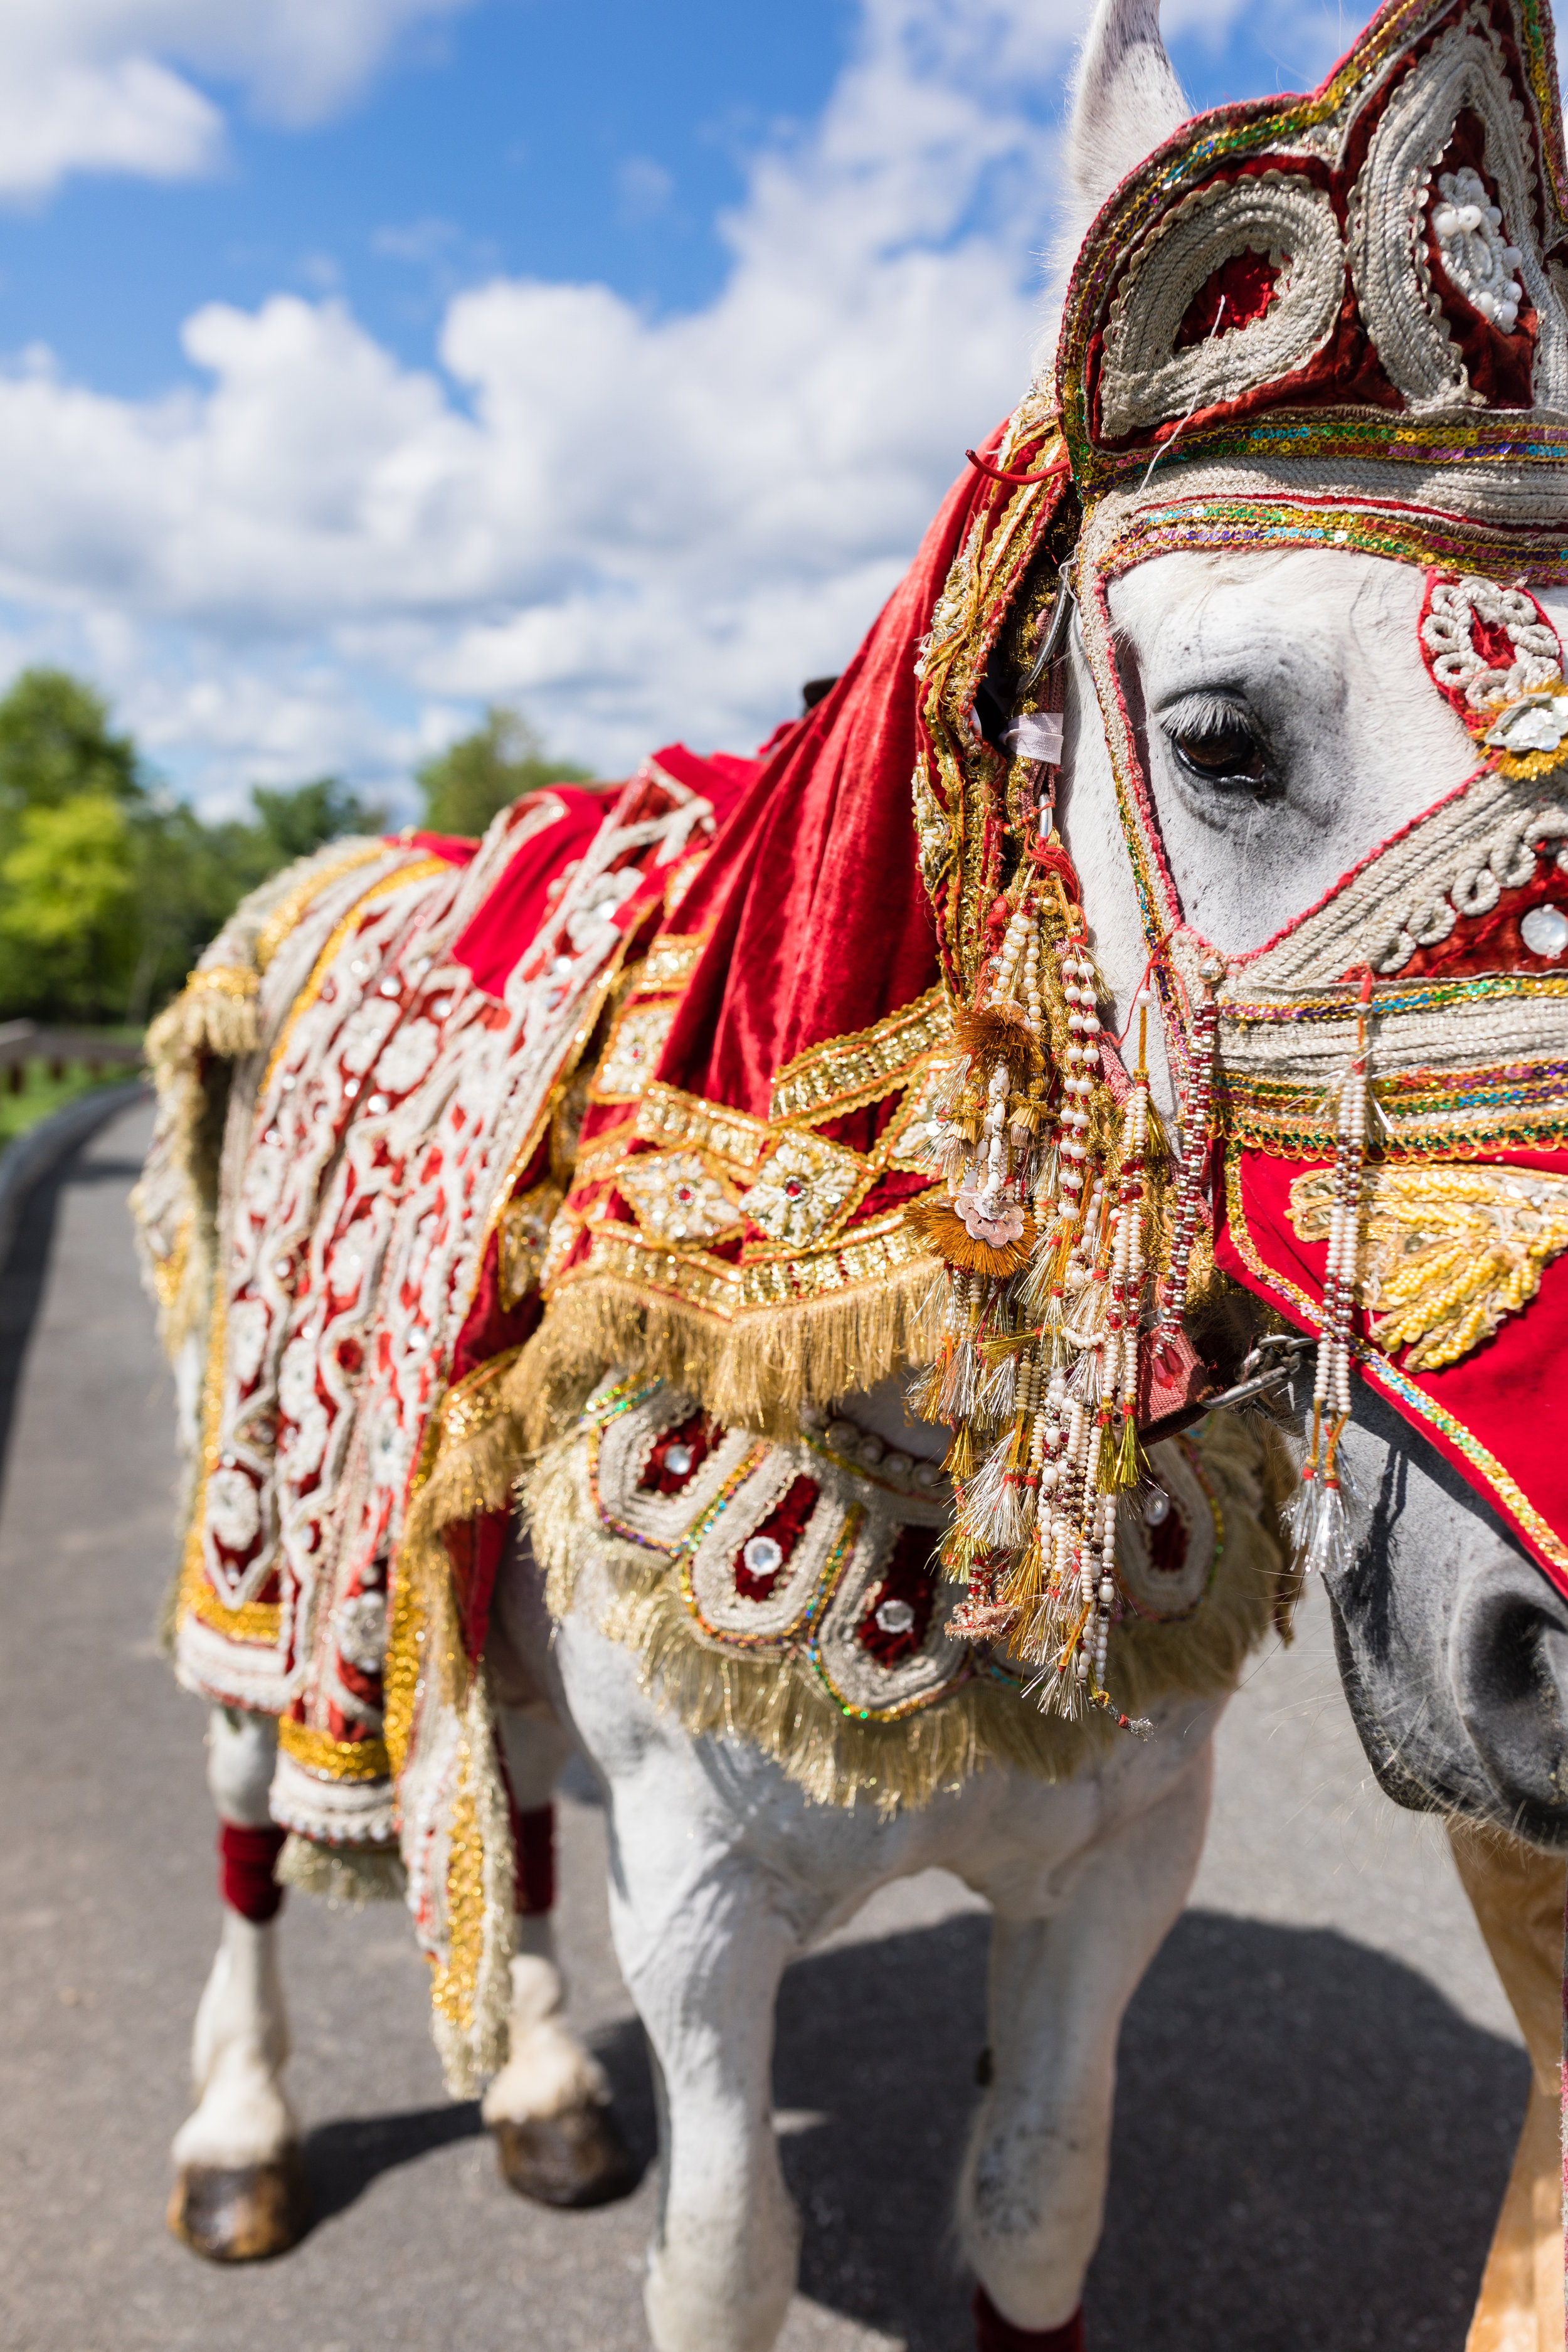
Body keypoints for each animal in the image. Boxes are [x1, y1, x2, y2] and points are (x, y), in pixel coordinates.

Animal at [131, 0, 1568, 2343]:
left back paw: (541, 2082)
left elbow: (1035, 2204)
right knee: (255, 1802)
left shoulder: (1113, 1865)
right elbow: (729, 2255)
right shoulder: (710, 1905)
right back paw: (243, 2132)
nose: (1538, 1652)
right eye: (1220, 735)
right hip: (252, 1494)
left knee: (501, 1793)